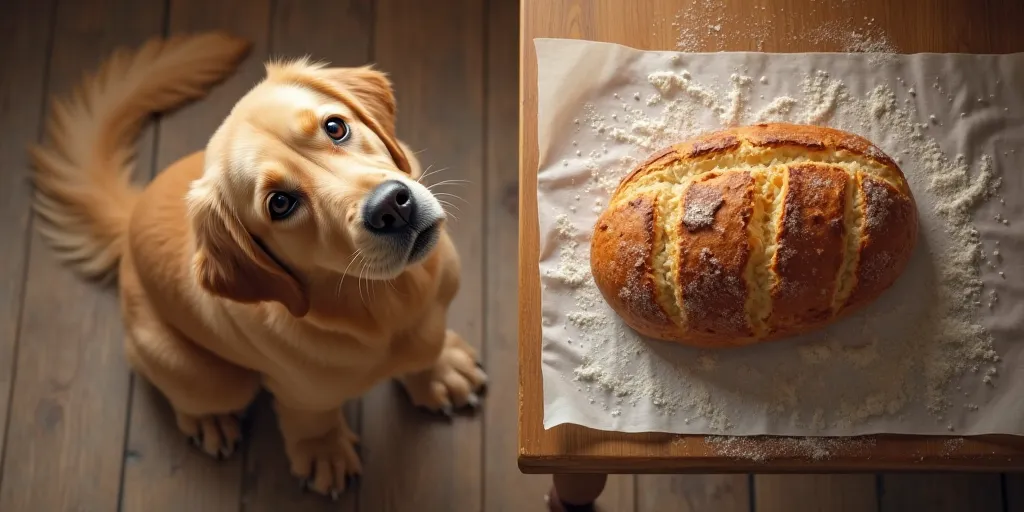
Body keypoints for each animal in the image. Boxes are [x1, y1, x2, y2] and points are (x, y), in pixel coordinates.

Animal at [24, 30, 487, 495]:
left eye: (335, 127)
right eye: (280, 203)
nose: (392, 205)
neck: (386, 301)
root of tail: (130, 218)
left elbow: (427, 348)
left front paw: (439, 371)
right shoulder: (299, 389)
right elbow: (313, 419)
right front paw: (325, 452)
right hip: (201, 373)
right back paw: (209, 420)